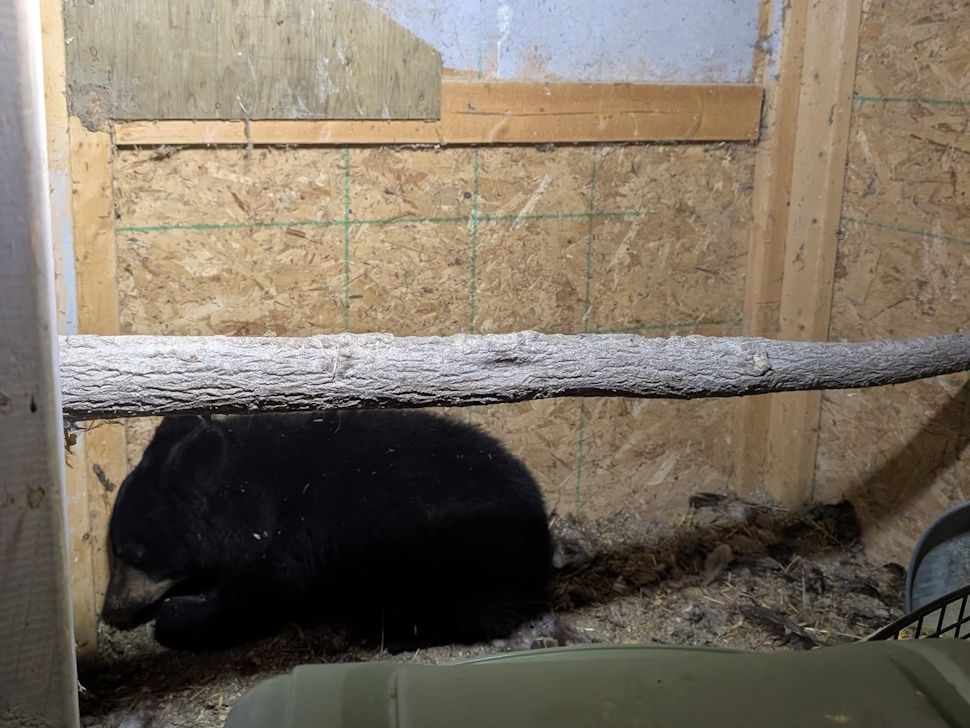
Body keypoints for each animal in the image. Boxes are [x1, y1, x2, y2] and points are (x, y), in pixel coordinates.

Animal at [101, 409, 554, 652]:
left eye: (131, 552)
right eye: (114, 550)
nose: (110, 608)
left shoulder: (287, 542)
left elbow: (259, 599)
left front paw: (178, 616)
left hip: (449, 548)